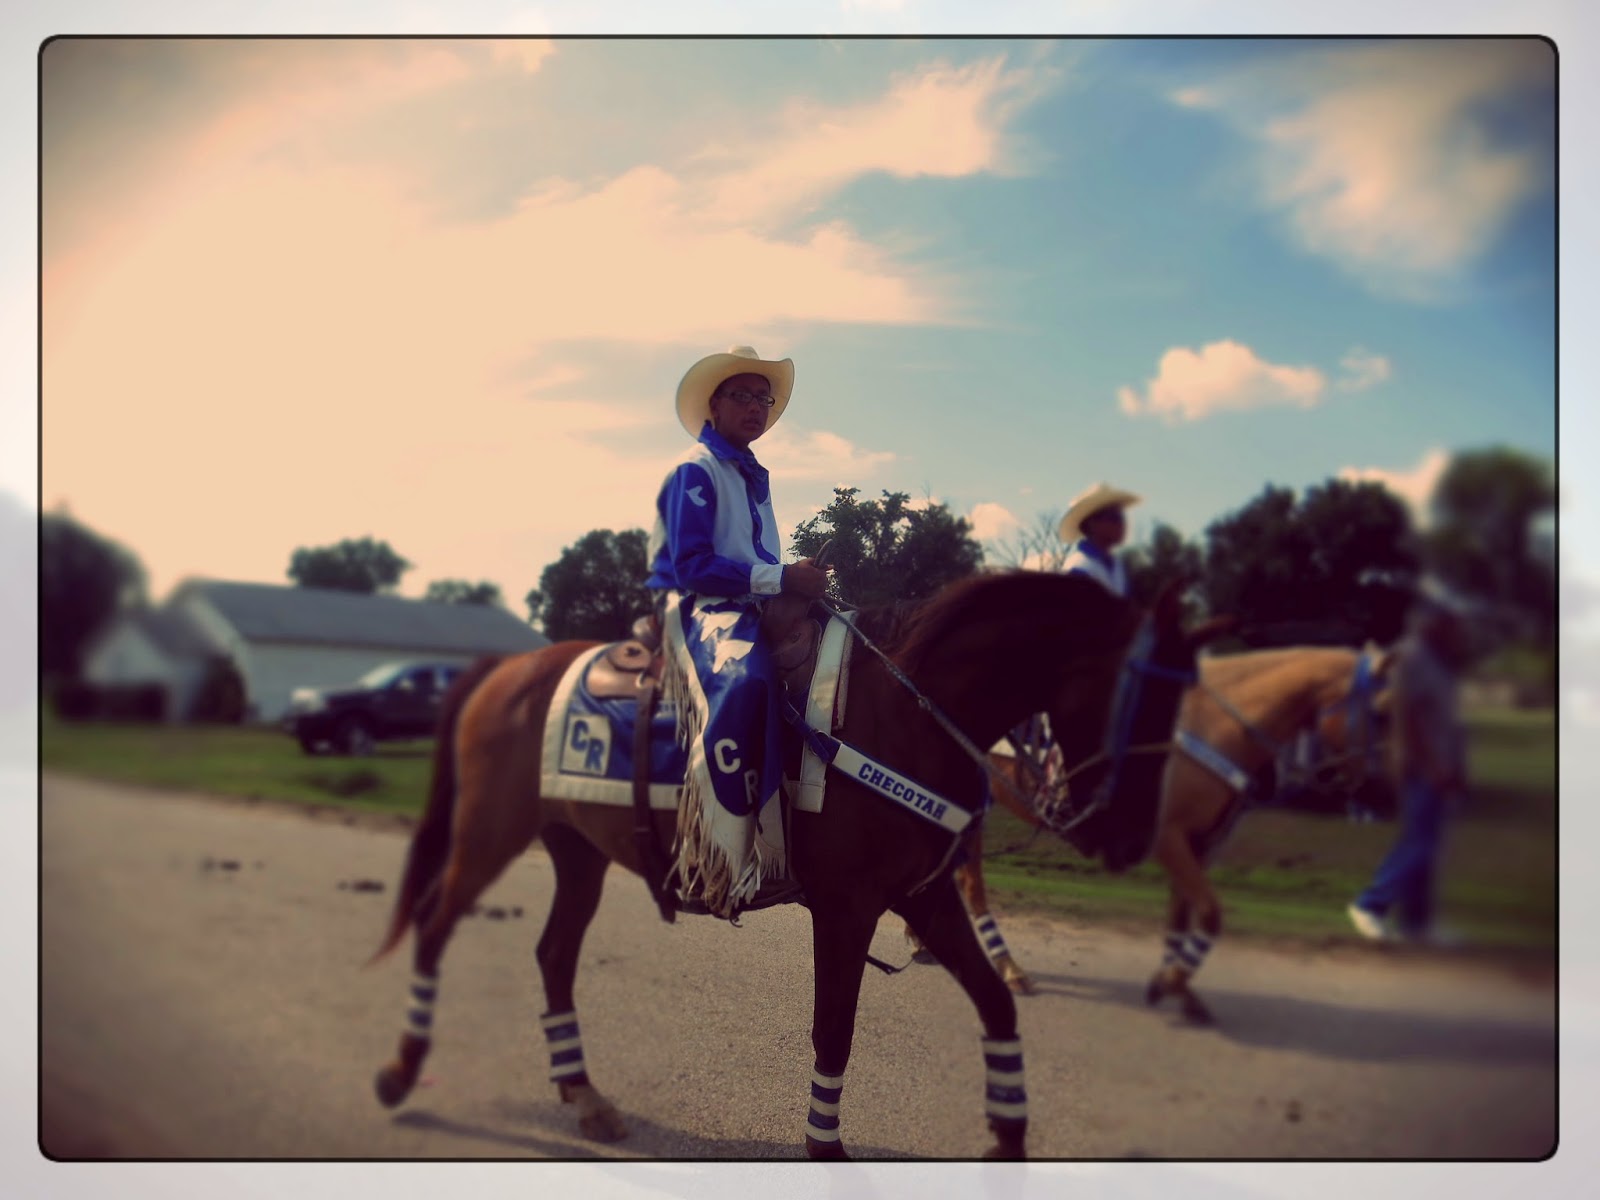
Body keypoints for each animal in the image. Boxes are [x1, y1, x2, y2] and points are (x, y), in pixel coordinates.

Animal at [368, 576, 1228, 1164]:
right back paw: (402, 1071)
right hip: (488, 834)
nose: (1130, 840)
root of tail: (504, 669)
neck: (904, 716)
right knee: (435, 928)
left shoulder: (924, 900)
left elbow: (996, 1004)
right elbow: (834, 1030)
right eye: (1146, 697)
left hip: (576, 851)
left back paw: (583, 1097)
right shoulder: (848, 908)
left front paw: (1009, 1140)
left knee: (552, 956)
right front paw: (824, 1148)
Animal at [921, 649, 1395, 1024]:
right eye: (1382, 713)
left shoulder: (1197, 845)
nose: (1380, 792)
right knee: (971, 884)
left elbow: (1181, 917)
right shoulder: (1170, 840)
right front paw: (1172, 982)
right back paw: (1007, 966)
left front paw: (1173, 986)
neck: (1210, 727)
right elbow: (1211, 914)